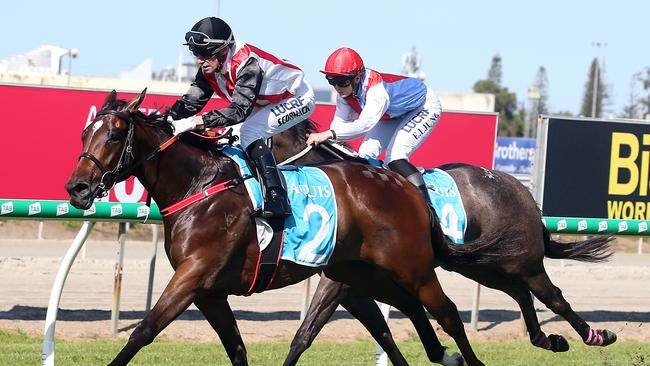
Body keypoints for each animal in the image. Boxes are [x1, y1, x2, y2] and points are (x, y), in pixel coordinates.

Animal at [64, 89, 506, 366]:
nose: (77, 188)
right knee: (410, 310)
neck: (199, 186)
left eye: (115, 135)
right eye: (85, 132)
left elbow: (143, 332)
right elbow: (237, 349)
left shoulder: (192, 277)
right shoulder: (209, 292)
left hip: (412, 268)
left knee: (448, 313)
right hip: (363, 273)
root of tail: (404, 183)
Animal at [270, 119, 616, 364]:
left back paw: (596, 335)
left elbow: (316, 330)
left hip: (525, 261)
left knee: (552, 296)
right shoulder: (351, 281)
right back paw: (547, 339)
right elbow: (320, 333)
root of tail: (520, 188)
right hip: (483, 267)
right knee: (520, 292)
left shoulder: (342, 280)